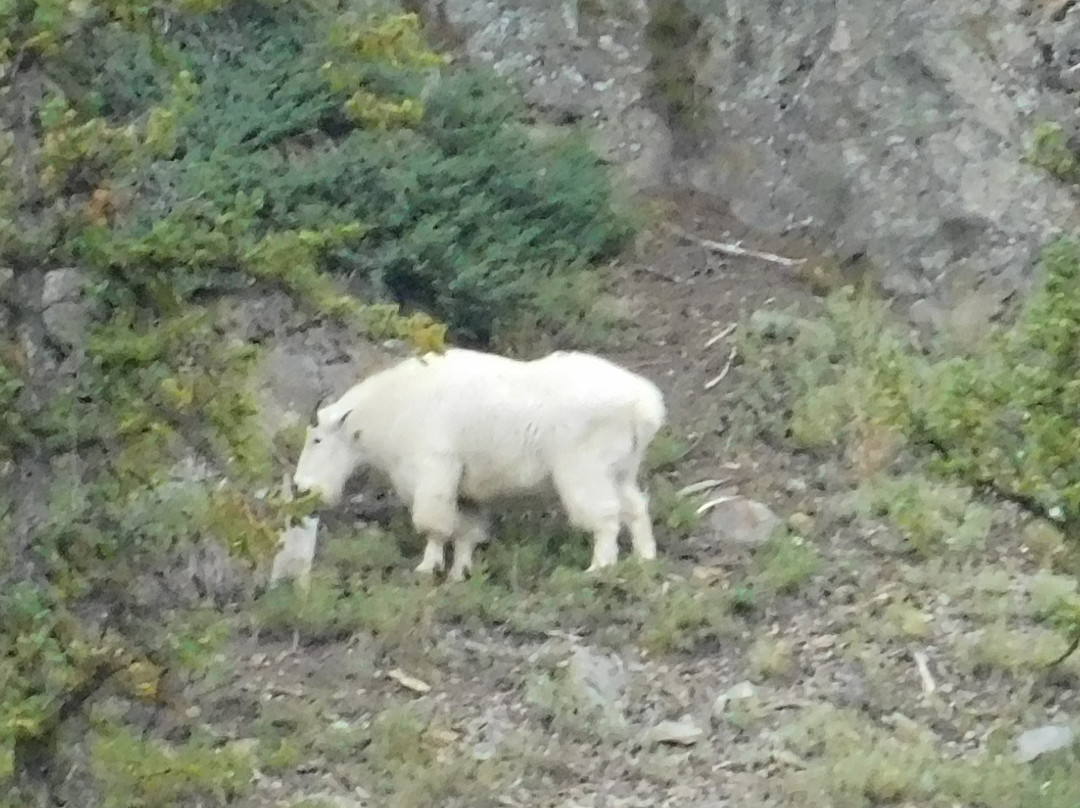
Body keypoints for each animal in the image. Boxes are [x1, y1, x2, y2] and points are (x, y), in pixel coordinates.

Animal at [291, 347, 669, 578]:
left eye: (317, 439)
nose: (301, 487)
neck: (391, 409)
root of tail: (645, 406)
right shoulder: (466, 490)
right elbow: (467, 531)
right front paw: (460, 572)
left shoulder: (434, 469)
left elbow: (433, 524)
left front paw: (427, 567)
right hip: (621, 469)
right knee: (635, 507)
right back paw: (644, 559)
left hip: (584, 468)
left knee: (605, 516)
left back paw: (599, 567)